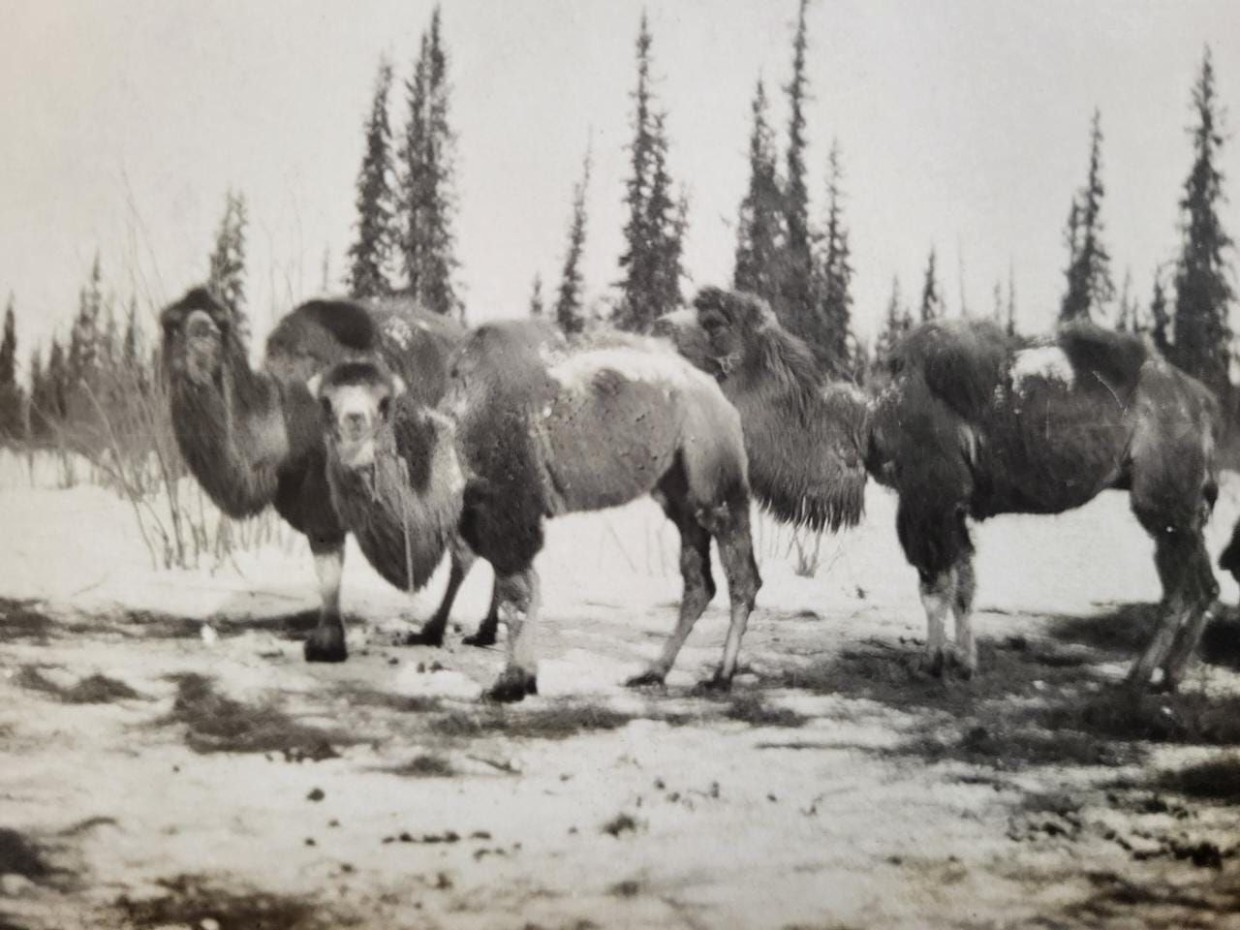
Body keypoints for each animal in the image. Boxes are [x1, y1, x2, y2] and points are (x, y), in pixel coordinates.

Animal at [159, 287, 498, 659]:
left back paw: (450, 629)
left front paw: (328, 642)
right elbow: (326, 565)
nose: (201, 332)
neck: (289, 419)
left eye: (221, 321)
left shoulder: (327, 493)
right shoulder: (309, 501)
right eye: (171, 323)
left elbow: (330, 568)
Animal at [314, 322, 758, 704]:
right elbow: (513, 583)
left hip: (716, 478)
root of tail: (721, 398)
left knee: (742, 576)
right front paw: (523, 676)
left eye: (384, 403)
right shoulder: (483, 518)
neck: (456, 453)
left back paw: (720, 676)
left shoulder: (511, 514)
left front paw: (510, 682)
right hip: (675, 492)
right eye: (326, 402)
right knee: (698, 581)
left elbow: (519, 594)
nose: (354, 423)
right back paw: (653, 672)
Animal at [659, 290, 1220, 694]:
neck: (866, 422)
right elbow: (964, 582)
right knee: (1204, 585)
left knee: (1180, 587)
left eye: (713, 320)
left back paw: (1140, 675)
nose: (661, 323)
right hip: (1182, 506)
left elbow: (935, 583)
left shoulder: (927, 497)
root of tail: (1201, 400)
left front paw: (929, 664)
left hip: (1164, 499)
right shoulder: (949, 505)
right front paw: (964, 662)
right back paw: (1169, 675)